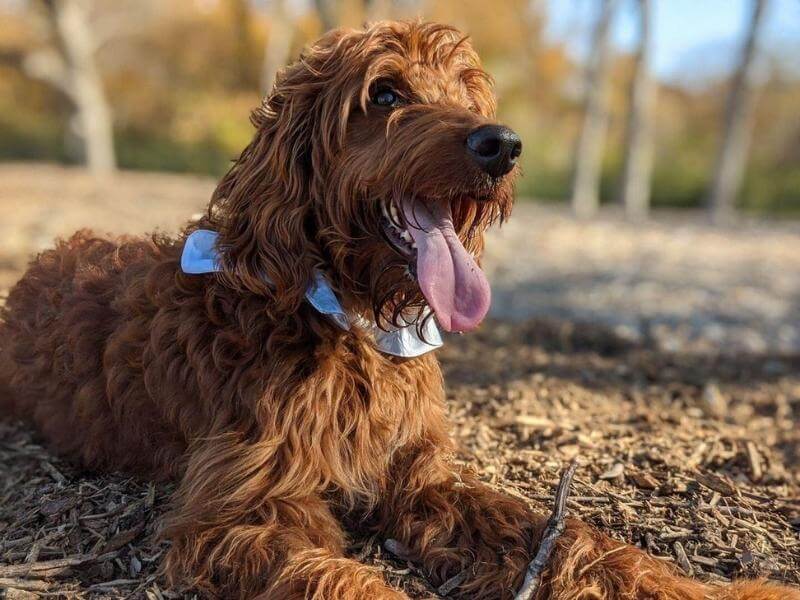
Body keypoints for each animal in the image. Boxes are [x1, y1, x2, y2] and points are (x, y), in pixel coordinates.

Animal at [1, 21, 800, 600]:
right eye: (384, 94)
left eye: (470, 94)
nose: (503, 144)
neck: (345, 319)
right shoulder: (246, 509)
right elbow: (342, 578)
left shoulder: (423, 483)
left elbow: (567, 537)